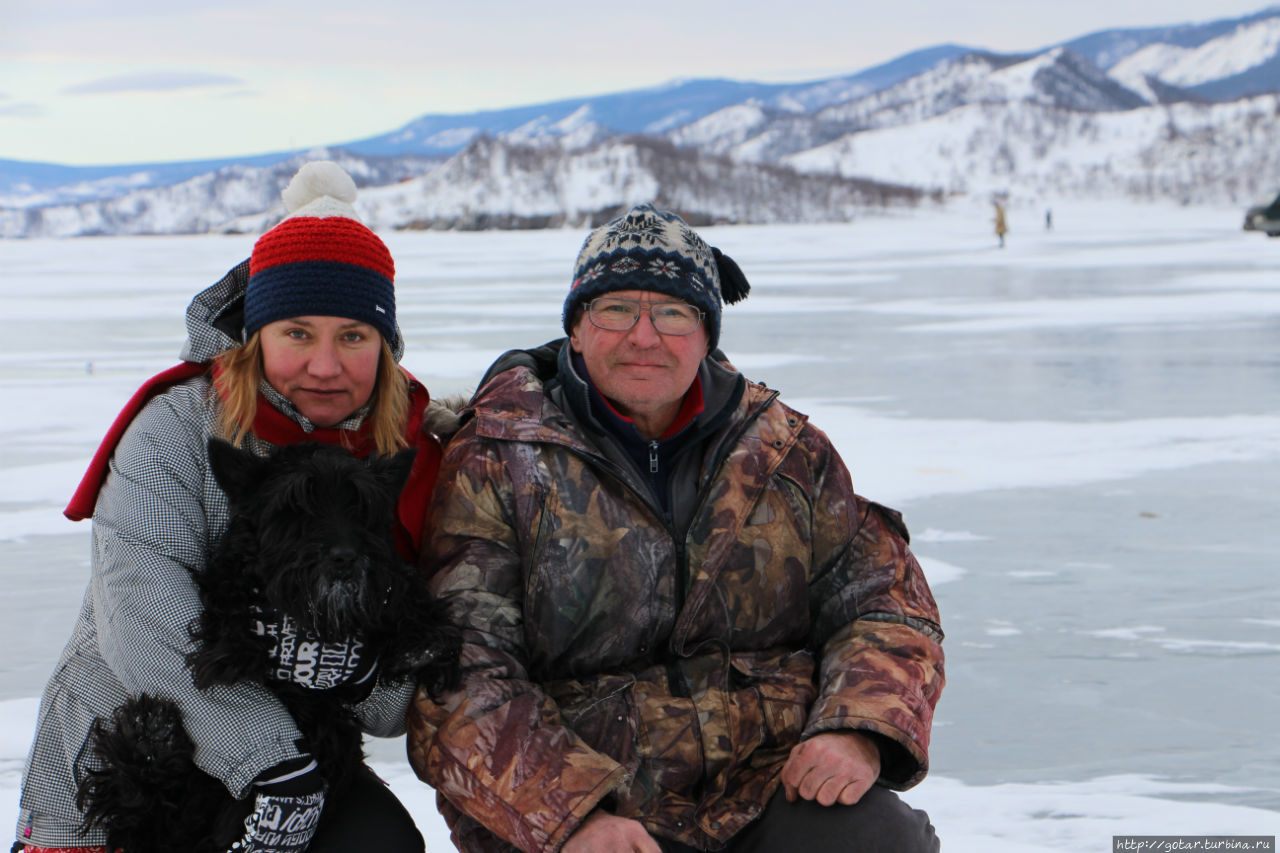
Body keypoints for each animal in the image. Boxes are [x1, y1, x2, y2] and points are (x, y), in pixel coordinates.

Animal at [74, 438, 460, 850]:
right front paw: (233, 651)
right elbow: (227, 599)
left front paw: (423, 638)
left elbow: (404, 590)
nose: (345, 556)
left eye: (361, 506)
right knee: (136, 799)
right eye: (295, 506)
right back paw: (151, 740)